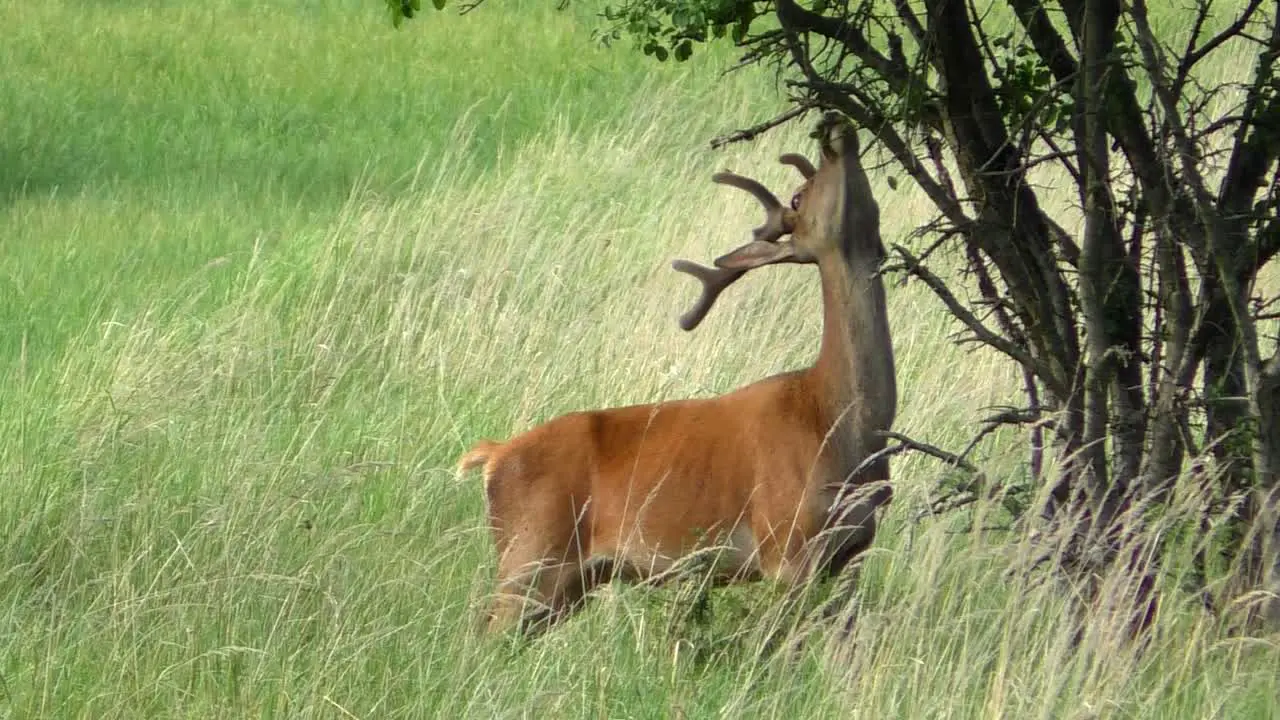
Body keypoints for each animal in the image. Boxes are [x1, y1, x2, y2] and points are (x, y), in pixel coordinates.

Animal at [455, 112, 896, 638]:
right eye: (797, 196)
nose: (832, 123)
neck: (837, 418)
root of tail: (494, 455)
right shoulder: (787, 545)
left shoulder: (854, 549)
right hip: (529, 556)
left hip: (568, 582)